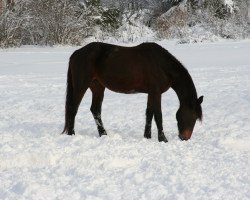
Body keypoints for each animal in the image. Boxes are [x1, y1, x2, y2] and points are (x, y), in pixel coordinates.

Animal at [62, 42, 203, 142]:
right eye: (193, 115)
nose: (185, 138)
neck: (161, 65)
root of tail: (77, 53)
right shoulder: (156, 92)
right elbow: (158, 115)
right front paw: (163, 139)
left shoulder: (151, 93)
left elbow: (149, 113)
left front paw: (147, 137)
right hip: (81, 86)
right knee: (73, 108)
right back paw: (72, 133)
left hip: (98, 87)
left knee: (95, 110)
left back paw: (103, 134)